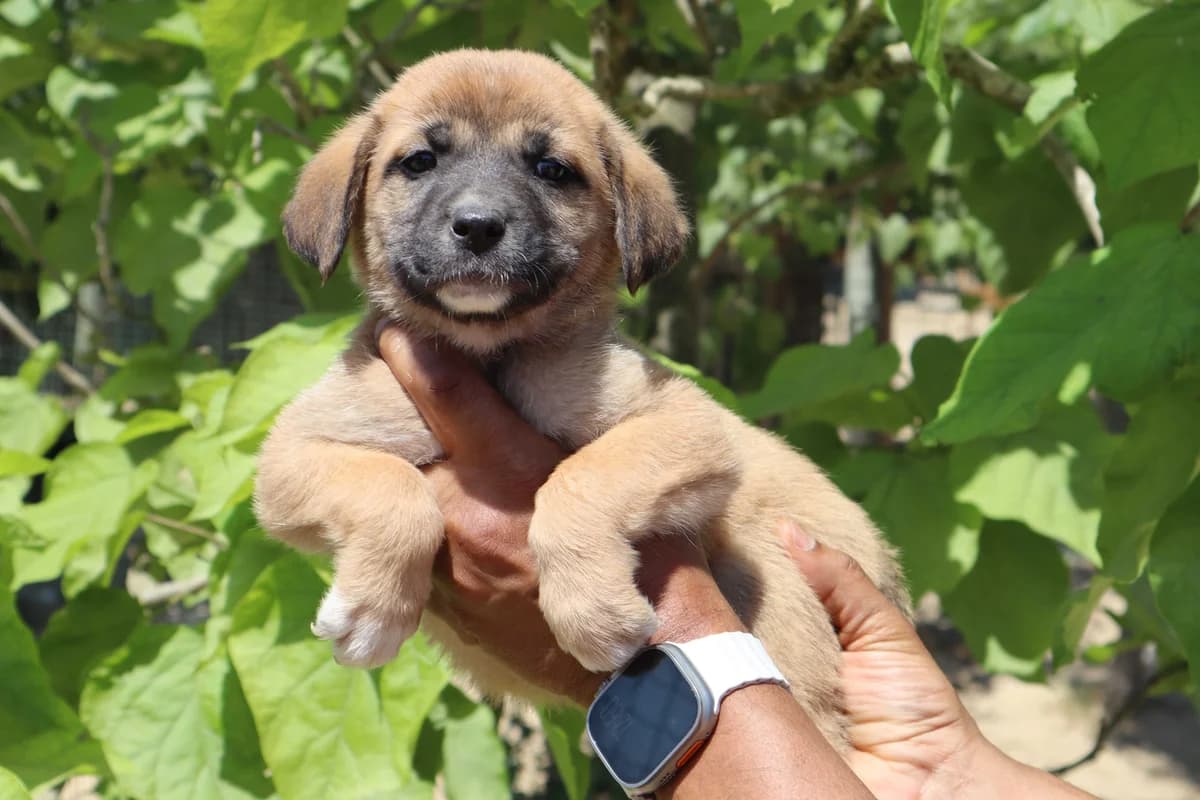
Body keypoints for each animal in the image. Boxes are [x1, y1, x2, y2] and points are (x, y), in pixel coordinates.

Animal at [254, 48, 909, 745]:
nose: (478, 227)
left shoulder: (687, 426)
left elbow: (578, 482)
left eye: (551, 169)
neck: (490, 357)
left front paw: (592, 612)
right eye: (420, 161)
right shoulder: (290, 456)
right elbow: (393, 491)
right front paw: (373, 611)